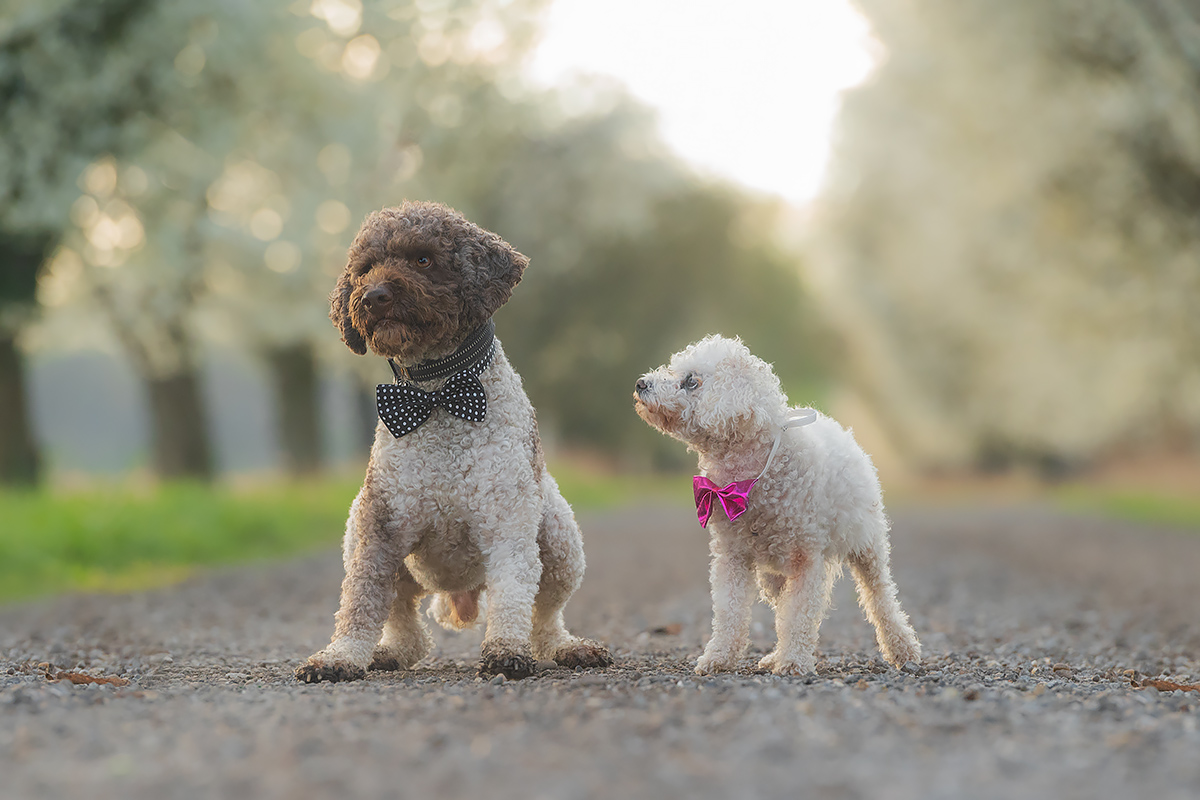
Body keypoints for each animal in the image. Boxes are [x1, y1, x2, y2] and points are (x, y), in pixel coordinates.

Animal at [638, 333, 916, 676]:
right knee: (782, 605)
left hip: (867, 545)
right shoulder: (731, 556)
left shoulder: (806, 560)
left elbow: (799, 615)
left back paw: (901, 647)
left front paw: (794, 662)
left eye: (691, 381)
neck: (751, 478)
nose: (640, 383)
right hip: (773, 574)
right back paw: (774, 656)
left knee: (879, 595)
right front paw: (718, 657)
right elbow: (730, 611)